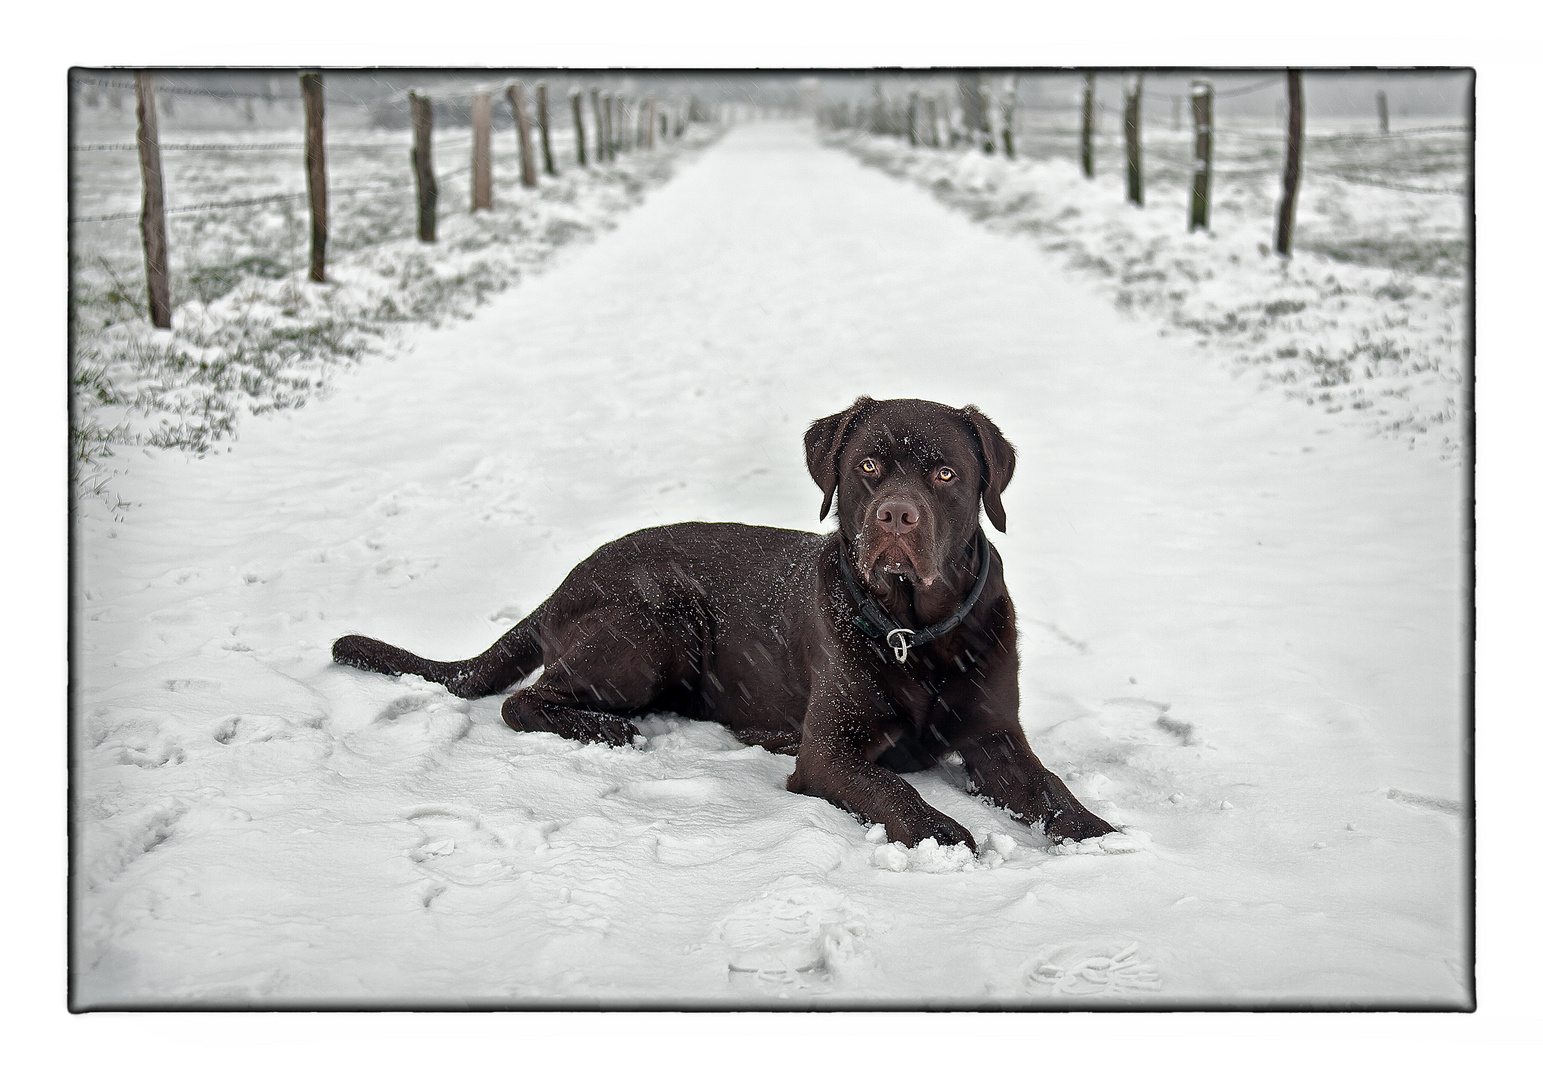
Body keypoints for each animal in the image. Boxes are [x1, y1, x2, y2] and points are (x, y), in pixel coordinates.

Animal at [334, 398, 1110, 851]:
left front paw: (1100, 835)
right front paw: (946, 833)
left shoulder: (995, 737)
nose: (896, 514)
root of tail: (558, 588)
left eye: (945, 474)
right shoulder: (831, 752)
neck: (916, 633)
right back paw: (607, 730)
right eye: (868, 464)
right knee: (524, 701)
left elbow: (1051, 790)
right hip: (651, 629)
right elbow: (896, 790)